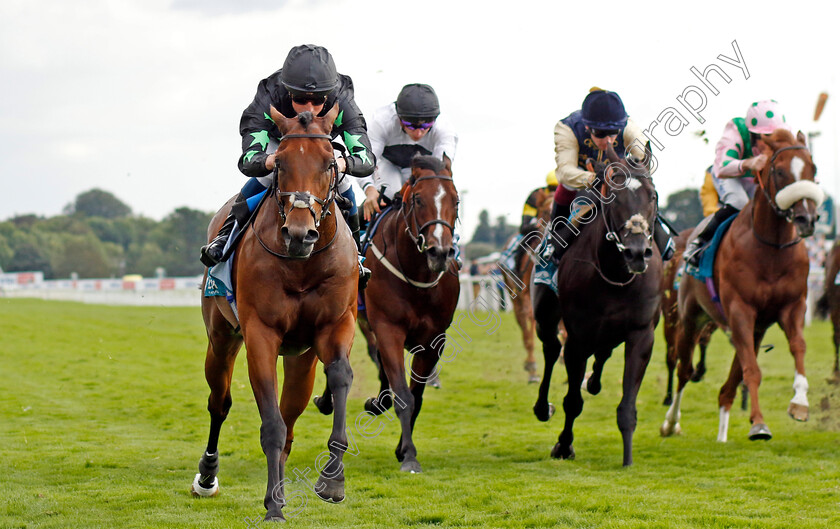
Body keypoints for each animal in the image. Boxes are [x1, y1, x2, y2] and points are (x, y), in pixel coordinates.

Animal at [193, 104, 358, 520]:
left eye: (329, 163)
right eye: (279, 163)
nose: (299, 235)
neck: (302, 264)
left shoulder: (335, 325)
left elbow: (341, 377)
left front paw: (332, 479)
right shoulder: (261, 334)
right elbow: (270, 424)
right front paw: (272, 506)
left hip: (301, 358)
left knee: (291, 415)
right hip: (221, 338)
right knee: (219, 403)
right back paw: (207, 476)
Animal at [532, 143, 664, 462]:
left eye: (652, 195)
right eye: (613, 195)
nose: (637, 253)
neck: (614, 274)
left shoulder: (642, 334)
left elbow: (627, 406)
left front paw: (628, 460)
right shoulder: (577, 338)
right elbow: (572, 401)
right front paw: (563, 445)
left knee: (602, 352)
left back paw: (593, 382)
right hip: (545, 315)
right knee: (551, 348)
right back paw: (543, 407)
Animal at [664, 128, 820, 442]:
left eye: (813, 168)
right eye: (779, 171)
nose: (806, 219)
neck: (771, 248)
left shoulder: (792, 306)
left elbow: (798, 347)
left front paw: (799, 403)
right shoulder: (740, 310)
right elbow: (752, 371)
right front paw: (759, 423)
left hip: (753, 330)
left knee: (727, 387)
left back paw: (722, 435)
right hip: (692, 318)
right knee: (684, 370)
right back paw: (671, 422)